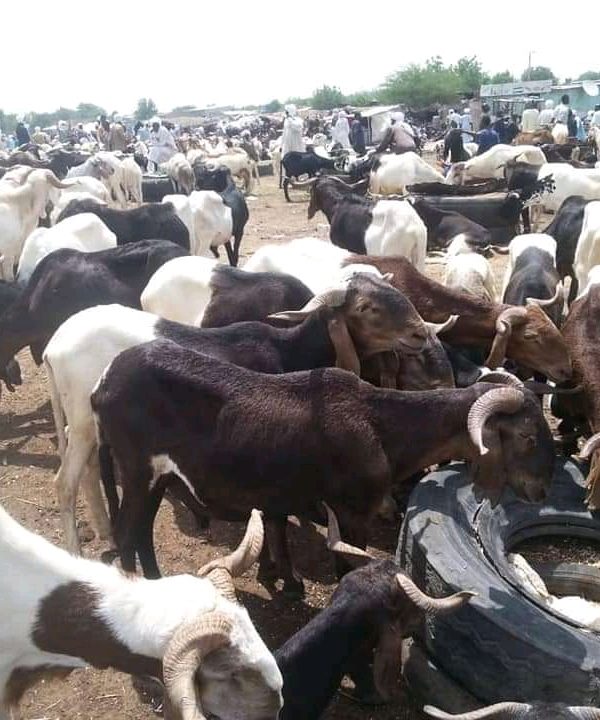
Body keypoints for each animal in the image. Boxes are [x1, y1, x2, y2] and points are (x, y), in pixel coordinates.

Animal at [92, 344, 552, 592]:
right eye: (528, 437)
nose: (542, 491)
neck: (381, 425)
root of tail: (103, 385)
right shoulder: (353, 513)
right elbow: (348, 568)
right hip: (136, 470)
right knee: (127, 532)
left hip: (157, 476)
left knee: (142, 532)